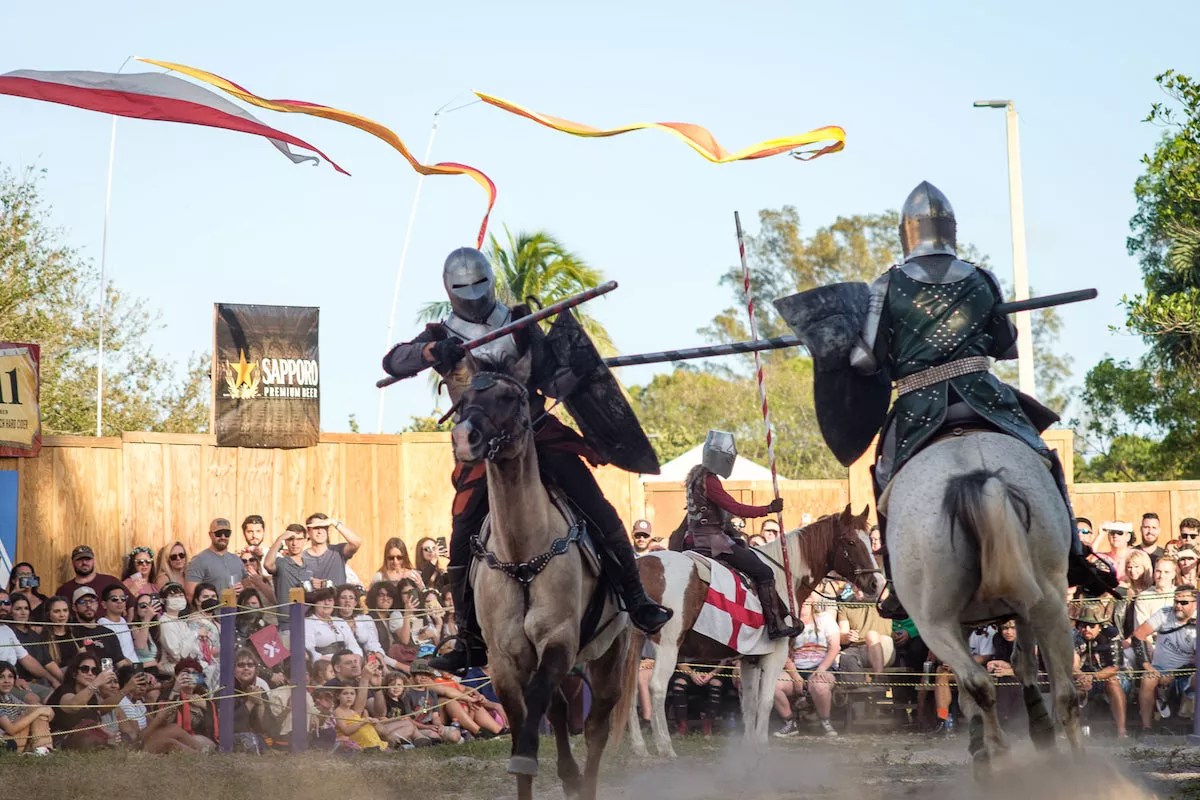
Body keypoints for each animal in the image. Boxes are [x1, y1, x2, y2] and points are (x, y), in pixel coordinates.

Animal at [451, 350, 632, 800]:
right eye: (463, 402)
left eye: (513, 397)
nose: (464, 439)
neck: (522, 557)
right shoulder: (503, 660)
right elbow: (523, 725)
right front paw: (529, 761)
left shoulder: (558, 642)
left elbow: (538, 709)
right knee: (562, 709)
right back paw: (568, 774)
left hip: (610, 657)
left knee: (596, 728)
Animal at [625, 505, 885, 758]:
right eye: (850, 542)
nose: (878, 584)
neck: (783, 575)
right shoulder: (775, 656)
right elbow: (765, 701)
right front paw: (761, 745)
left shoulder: (750, 657)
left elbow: (749, 703)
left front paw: (748, 746)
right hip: (667, 645)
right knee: (657, 687)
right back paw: (665, 747)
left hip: (632, 646)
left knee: (629, 691)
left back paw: (639, 748)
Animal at [884, 431, 1083, 779]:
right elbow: (1023, 663)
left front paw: (982, 743)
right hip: (1047, 601)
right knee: (1064, 694)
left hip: (934, 622)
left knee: (979, 682)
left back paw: (998, 753)